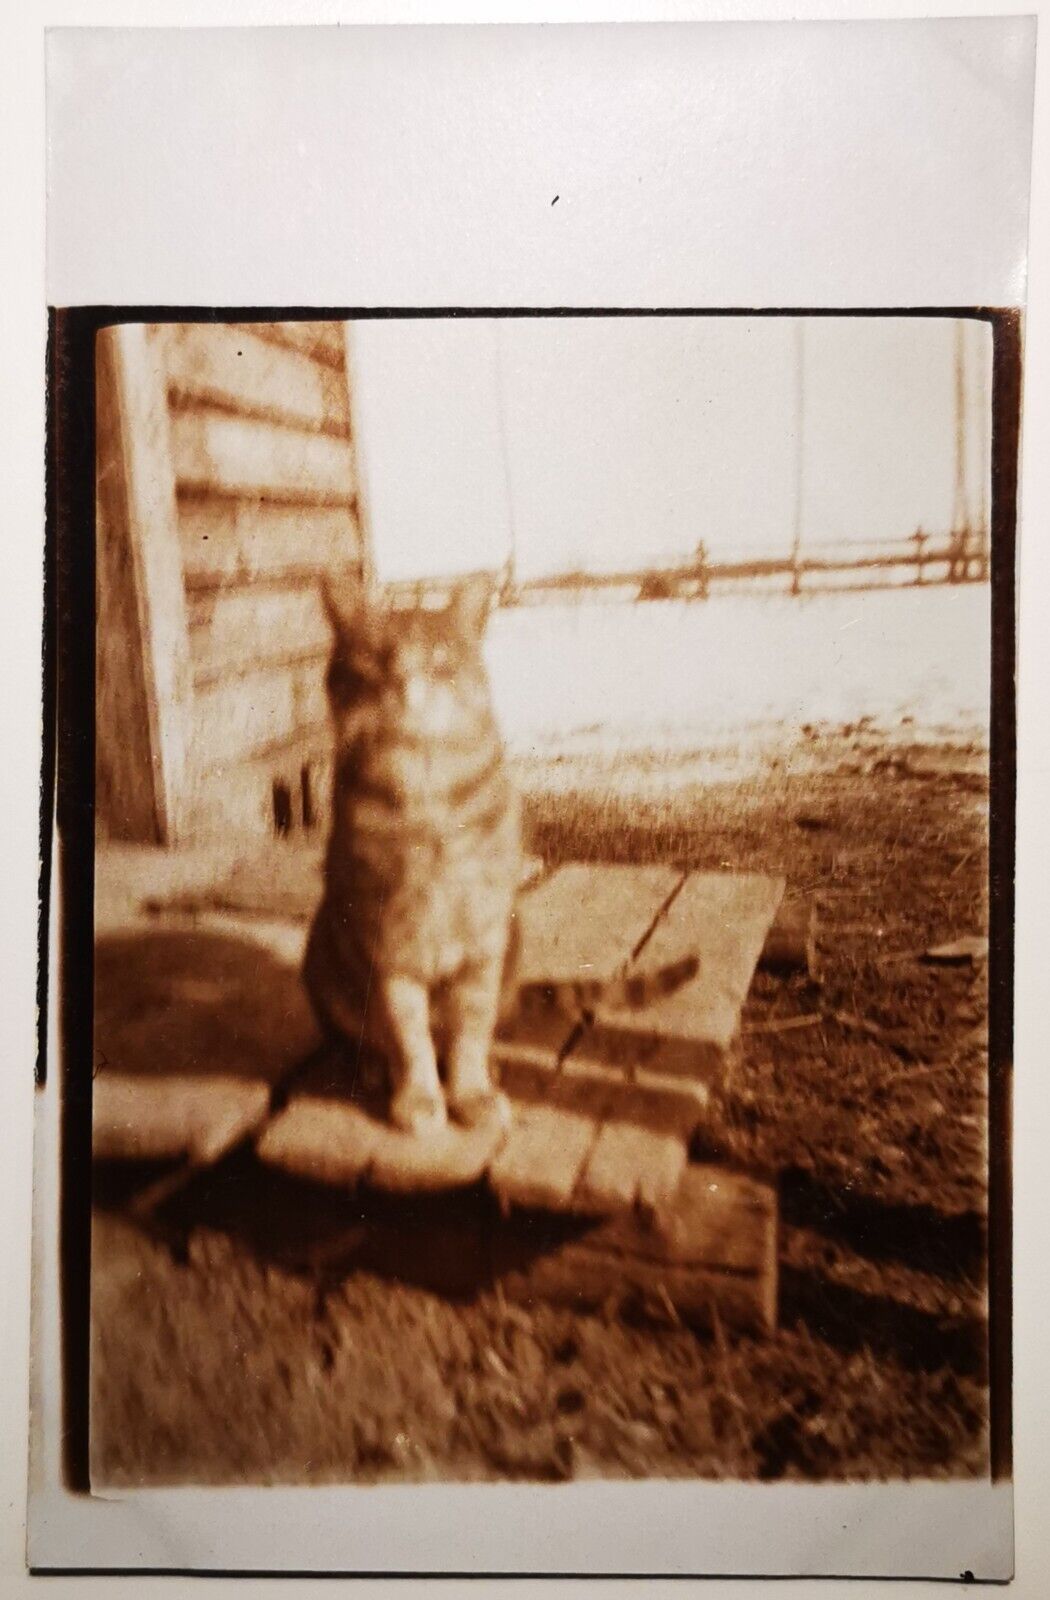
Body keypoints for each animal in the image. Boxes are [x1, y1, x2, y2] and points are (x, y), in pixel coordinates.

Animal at [304, 576, 697, 1139]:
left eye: (439, 657)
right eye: (375, 658)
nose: (404, 682)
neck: (427, 800)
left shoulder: (483, 950)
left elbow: (468, 1034)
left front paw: (471, 1093)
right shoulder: (390, 949)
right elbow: (408, 1038)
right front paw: (420, 1097)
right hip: (324, 959)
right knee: (357, 1038)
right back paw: (373, 1068)